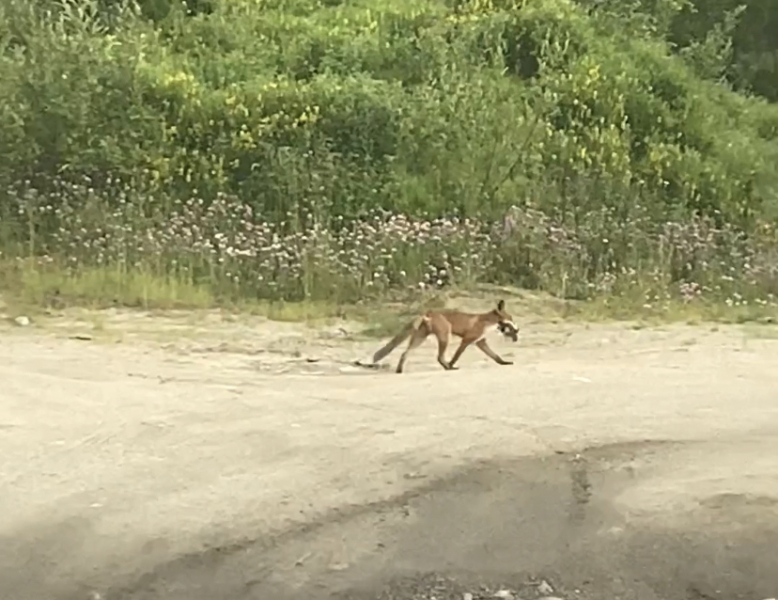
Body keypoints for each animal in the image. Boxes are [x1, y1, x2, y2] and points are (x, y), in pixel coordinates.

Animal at [370, 299, 520, 374]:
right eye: (510, 319)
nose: (517, 330)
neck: (487, 322)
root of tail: (428, 312)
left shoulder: (480, 342)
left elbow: (495, 356)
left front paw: (504, 363)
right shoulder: (467, 340)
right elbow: (456, 356)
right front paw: (452, 364)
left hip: (420, 338)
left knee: (404, 354)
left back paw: (399, 370)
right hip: (445, 336)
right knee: (439, 357)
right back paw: (448, 367)